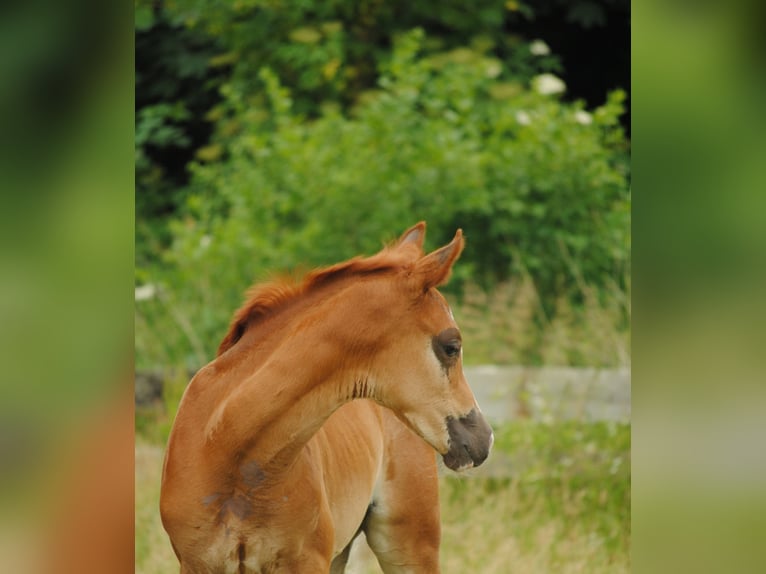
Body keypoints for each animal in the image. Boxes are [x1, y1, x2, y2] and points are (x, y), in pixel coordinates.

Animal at [163, 223, 498, 572]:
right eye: (452, 346)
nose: (483, 438)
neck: (231, 452)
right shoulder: (197, 563)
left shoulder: (307, 561)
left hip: (409, 543)